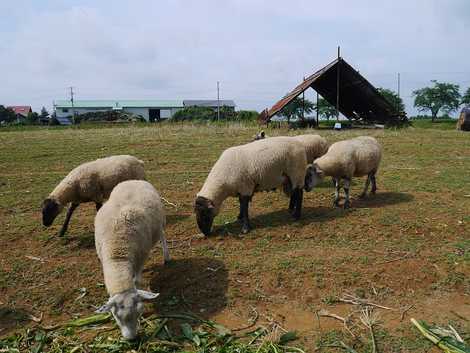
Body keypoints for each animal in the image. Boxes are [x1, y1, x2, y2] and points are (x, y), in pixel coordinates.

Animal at [94, 180, 170, 340]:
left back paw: (166, 256)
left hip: (161, 222)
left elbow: (136, 280)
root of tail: (133, 180)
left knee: (162, 236)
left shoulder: (141, 256)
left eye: (139, 313)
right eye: (116, 316)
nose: (132, 339)